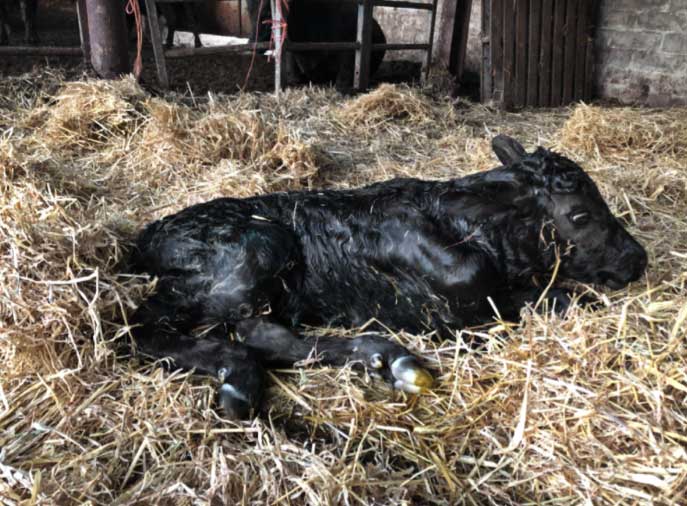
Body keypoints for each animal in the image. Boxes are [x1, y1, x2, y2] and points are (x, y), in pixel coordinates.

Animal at [129, 136, 652, 422]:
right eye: (580, 215)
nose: (638, 259)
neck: (467, 231)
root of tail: (149, 236)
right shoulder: (453, 305)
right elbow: (547, 297)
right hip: (249, 254)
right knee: (154, 327)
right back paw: (240, 380)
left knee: (269, 333)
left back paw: (388, 359)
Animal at [247, 0, 388, 92]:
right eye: (248, 11)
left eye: (268, 12)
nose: (254, 43)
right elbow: (294, 73)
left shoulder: (350, 46)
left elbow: (343, 78)